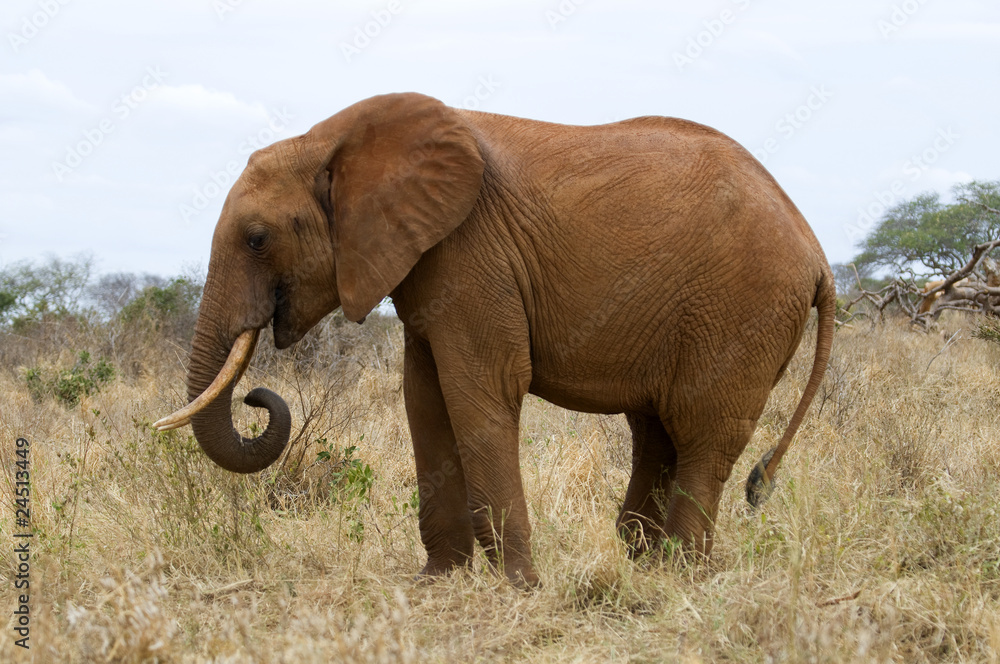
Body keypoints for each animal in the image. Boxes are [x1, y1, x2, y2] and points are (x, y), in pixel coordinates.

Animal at [156, 92, 835, 587]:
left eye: (257, 239)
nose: (256, 397)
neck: (332, 139)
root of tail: (817, 252)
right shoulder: (430, 265)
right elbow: (425, 401)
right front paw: (438, 580)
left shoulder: (473, 254)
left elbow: (480, 393)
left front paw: (518, 587)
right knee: (657, 432)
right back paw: (639, 560)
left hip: (742, 311)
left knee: (702, 436)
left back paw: (679, 575)